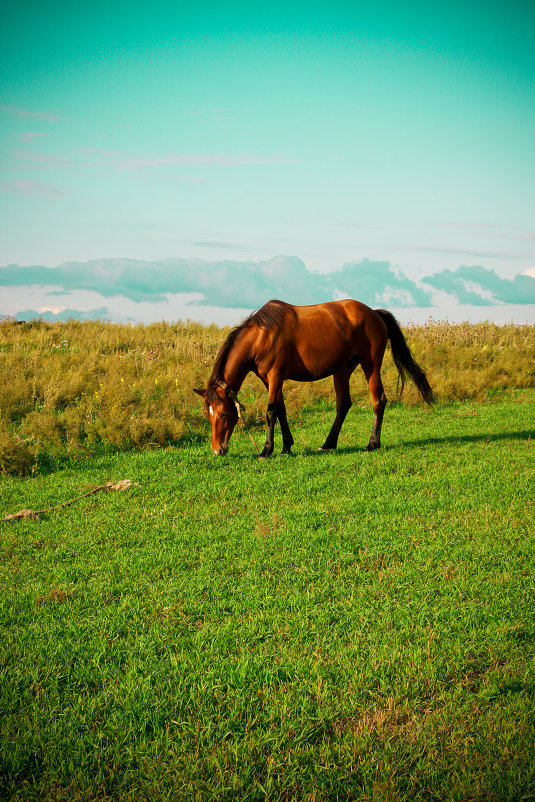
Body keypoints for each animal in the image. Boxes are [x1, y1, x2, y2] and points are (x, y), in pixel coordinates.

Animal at [195, 296, 434, 456]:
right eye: (208, 414)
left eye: (223, 415)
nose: (217, 450)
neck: (261, 336)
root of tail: (375, 313)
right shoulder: (269, 380)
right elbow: (281, 410)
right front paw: (286, 447)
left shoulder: (275, 376)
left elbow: (271, 411)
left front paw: (267, 450)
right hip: (342, 370)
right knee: (343, 404)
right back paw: (328, 443)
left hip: (371, 365)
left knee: (379, 401)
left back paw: (372, 443)